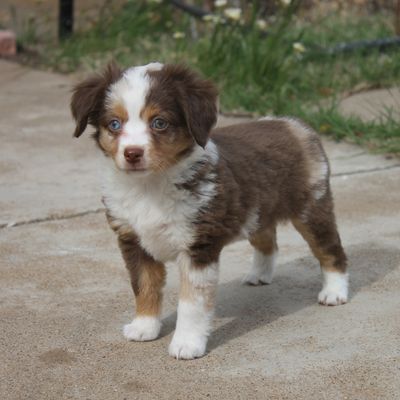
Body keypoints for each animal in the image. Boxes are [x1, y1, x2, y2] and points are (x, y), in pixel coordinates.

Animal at [70, 61, 348, 360]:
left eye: (159, 123)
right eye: (114, 124)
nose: (132, 153)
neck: (149, 186)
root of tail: (293, 124)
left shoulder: (198, 246)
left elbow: (192, 304)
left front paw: (187, 344)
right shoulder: (133, 241)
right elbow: (143, 286)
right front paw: (144, 327)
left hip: (312, 207)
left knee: (330, 249)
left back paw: (335, 292)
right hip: (256, 212)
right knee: (268, 242)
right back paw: (259, 275)